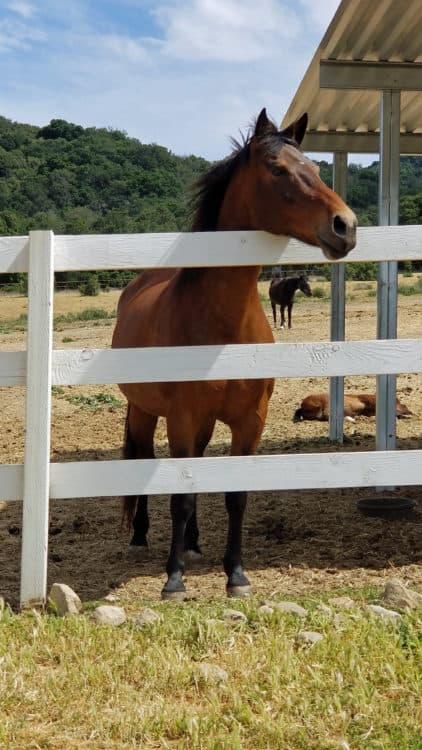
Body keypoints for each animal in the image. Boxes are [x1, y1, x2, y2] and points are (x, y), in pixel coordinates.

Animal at [112, 106, 356, 604]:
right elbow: (181, 496)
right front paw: (174, 580)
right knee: (143, 458)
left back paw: (192, 541)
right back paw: (142, 534)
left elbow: (234, 494)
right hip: (145, 411)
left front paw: (236, 574)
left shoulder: (250, 421)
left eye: (316, 168)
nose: (346, 225)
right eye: (277, 169)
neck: (222, 328)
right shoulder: (183, 418)